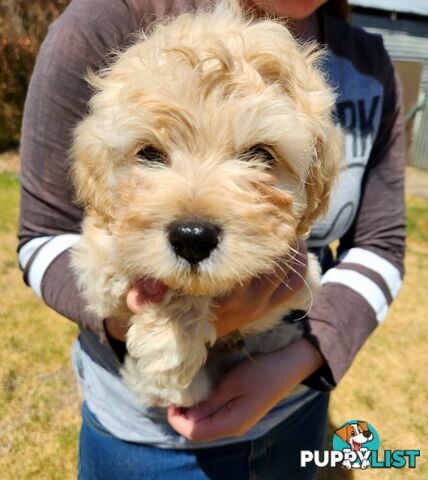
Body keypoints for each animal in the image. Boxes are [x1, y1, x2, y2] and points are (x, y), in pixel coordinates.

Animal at [72, 0, 342, 408]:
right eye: (149, 153)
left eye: (260, 154)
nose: (192, 237)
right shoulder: (93, 256)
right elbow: (124, 263)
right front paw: (169, 345)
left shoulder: (300, 272)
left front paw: (170, 343)